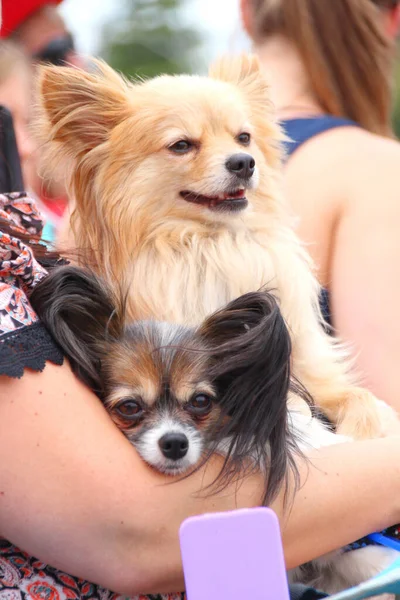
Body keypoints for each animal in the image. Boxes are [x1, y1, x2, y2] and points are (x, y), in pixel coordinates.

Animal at [35, 54, 396, 438]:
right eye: (181, 145)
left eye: (244, 138)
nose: (244, 162)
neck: (210, 246)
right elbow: (291, 404)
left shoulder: (310, 368)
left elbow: (357, 397)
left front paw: (365, 427)